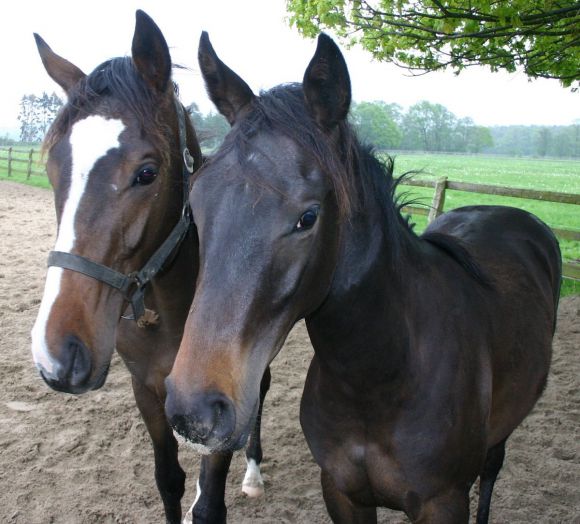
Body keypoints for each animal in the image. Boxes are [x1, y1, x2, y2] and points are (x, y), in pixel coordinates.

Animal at [32, 10, 272, 520]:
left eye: (146, 173)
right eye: (53, 171)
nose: (57, 354)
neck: (170, 309)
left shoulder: (218, 394)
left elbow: (209, 501)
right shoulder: (146, 389)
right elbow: (169, 480)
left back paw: (254, 472)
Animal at [164, 33, 560, 524]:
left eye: (308, 217)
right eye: (196, 204)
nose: (194, 414)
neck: (381, 376)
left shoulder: (445, 501)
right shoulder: (341, 491)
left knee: (491, 469)